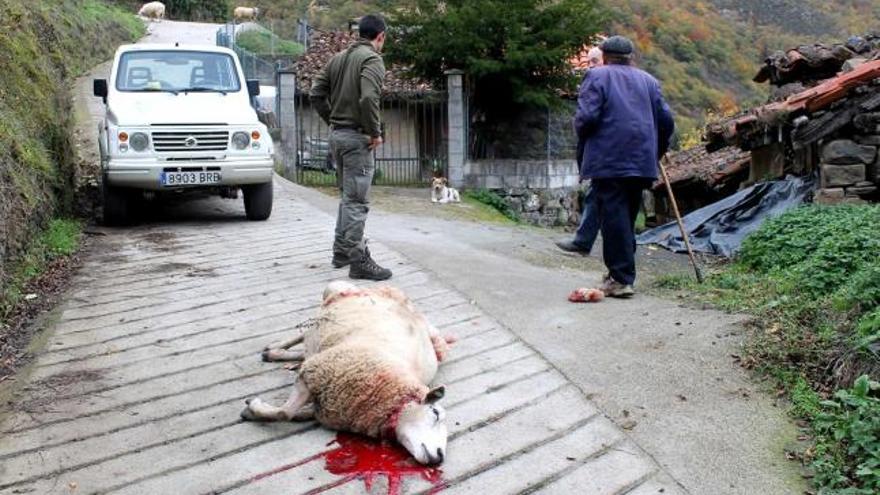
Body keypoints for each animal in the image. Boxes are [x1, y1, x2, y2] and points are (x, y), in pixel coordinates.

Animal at [244, 280, 458, 466]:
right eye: (435, 413)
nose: (440, 457)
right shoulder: (314, 374)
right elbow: (284, 412)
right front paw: (253, 407)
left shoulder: (325, 403)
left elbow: (295, 413)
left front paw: (255, 411)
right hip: (330, 295)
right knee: (303, 334)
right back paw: (275, 349)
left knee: (305, 346)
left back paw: (278, 354)